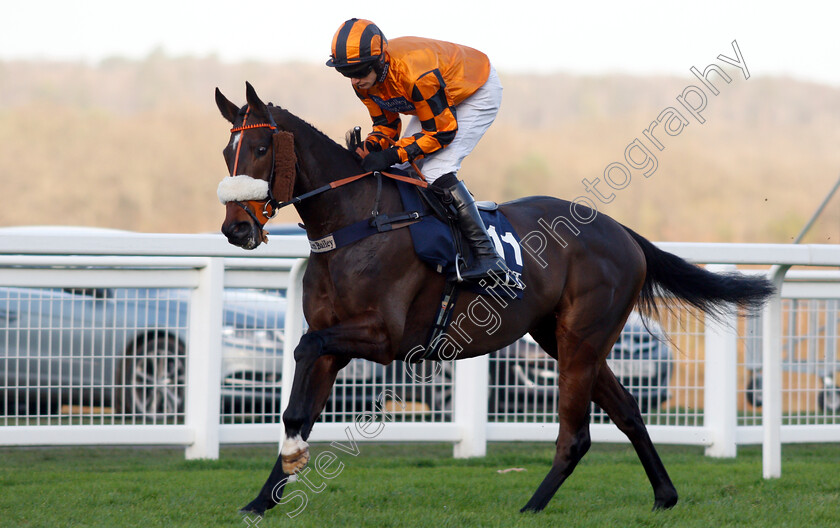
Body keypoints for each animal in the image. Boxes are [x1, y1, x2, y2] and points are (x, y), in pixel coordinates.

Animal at [215, 82, 776, 516]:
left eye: (261, 150)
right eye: (226, 154)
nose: (236, 229)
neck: (355, 222)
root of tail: (623, 233)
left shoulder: (383, 337)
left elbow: (303, 348)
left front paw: (288, 462)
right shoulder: (336, 341)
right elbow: (301, 405)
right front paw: (264, 498)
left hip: (582, 337)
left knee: (577, 434)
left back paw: (533, 505)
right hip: (561, 336)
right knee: (628, 411)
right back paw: (663, 495)